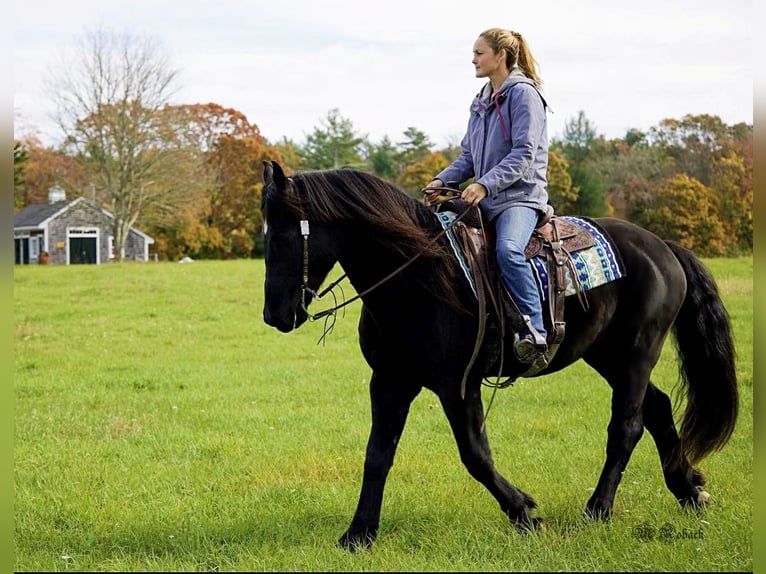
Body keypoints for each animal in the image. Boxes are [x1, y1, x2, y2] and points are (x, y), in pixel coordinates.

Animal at [262, 160, 736, 552]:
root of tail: (662, 246)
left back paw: (597, 510)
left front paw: (524, 512)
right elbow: (377, 455)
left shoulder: (457, 384)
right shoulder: (391, 381)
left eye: (284, 235)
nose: (274, 316)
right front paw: (358, 534)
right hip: (607, 355)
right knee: (656, 408)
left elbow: (475, 455)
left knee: (627, 427)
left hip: (637, 352)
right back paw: (689, 490)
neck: (419, 277)